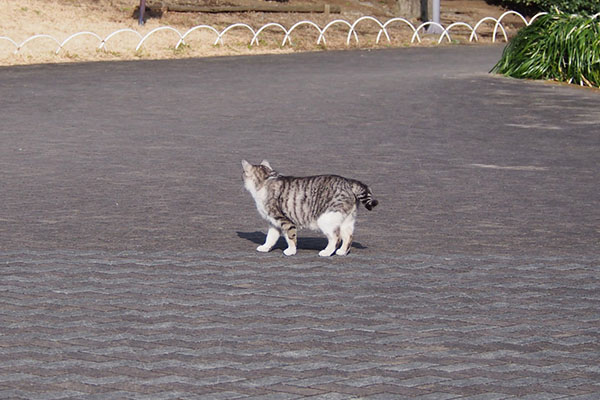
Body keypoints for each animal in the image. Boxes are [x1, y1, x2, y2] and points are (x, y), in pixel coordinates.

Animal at [241, 159, 378, 256]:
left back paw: (326, 252)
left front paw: (291, 251)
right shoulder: (274, 223)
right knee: (348, 237)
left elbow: (290, 237)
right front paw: (265, 247)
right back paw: (342, 252)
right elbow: (270, 237)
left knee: (336, 238)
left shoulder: (284, 220)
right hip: (347, 220)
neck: (266, 180)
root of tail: (348, 181)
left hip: (326, 218)